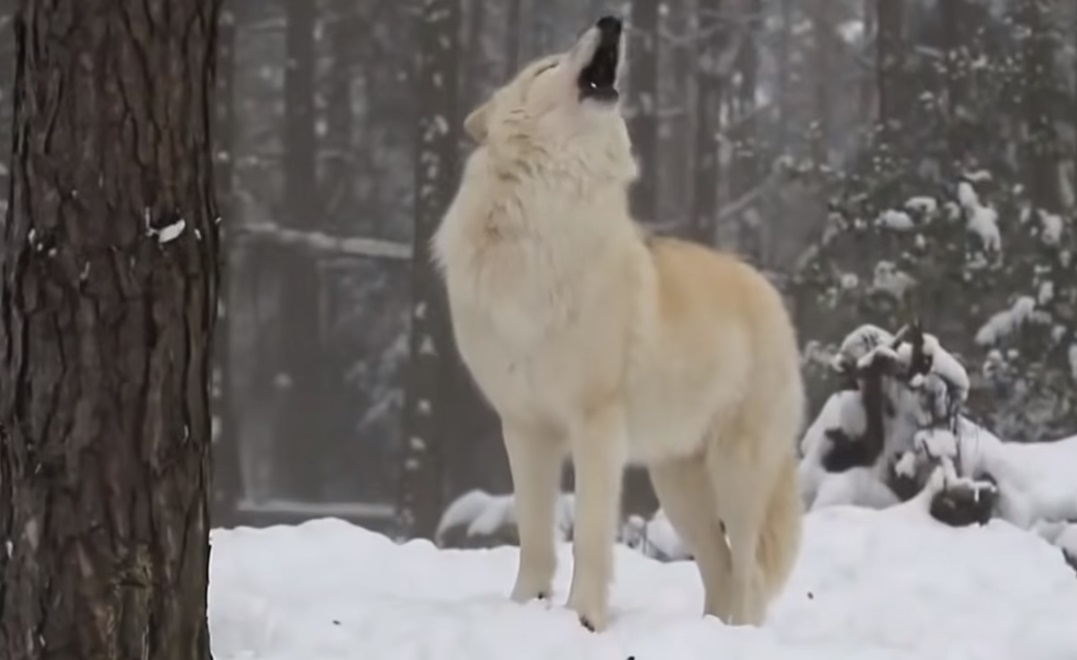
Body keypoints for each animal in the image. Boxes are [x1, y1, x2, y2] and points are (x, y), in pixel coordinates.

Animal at [432, 15, 805, 628]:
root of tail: (767, 287)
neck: (544, 224)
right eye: (546, 65)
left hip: (736, 475)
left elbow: (588, 536)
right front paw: (525, 607)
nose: (611, 21)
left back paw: (737, 632)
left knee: (748, 573)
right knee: (720, 568)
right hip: (677, 486)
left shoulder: (596, 424)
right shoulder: (525, 426)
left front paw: (584, 619)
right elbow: (535, 538)